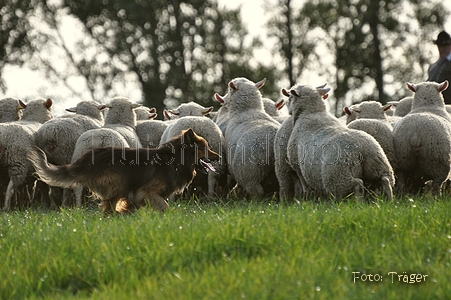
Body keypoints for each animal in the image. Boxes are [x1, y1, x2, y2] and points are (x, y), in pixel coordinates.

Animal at [27, 129, 220, 213]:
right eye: (206, 148)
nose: (218, 156)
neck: (176, 159)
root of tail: (84, 160)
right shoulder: (146, 191)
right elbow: (164, 206)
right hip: (119, 182)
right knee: (108, 207)